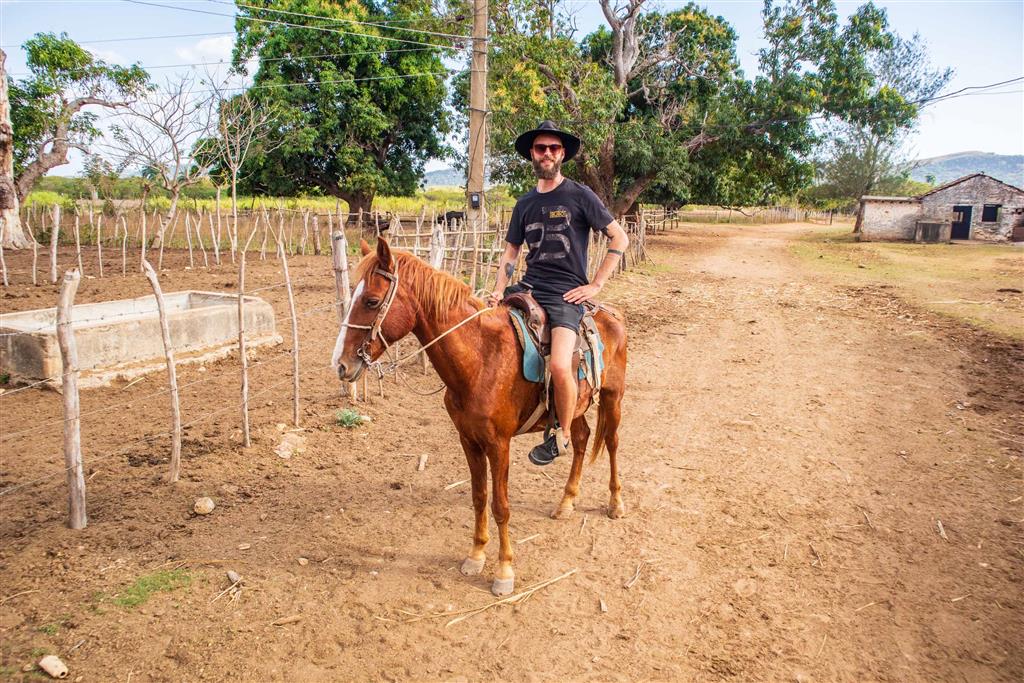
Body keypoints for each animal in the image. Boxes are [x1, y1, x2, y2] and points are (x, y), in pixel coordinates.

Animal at [332, 238, 627, 596]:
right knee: (581, 438)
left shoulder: (499, 445)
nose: (341, 364)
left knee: (611, 442)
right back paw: (566, 502)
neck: (481, 358)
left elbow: (501, 506)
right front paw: (475, 555)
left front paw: (504, 571)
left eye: (372, 301)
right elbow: (479, 497)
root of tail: (610, 314)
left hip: (612, 397)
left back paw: (615, 503)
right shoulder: (469, 440)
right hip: (576, 407)